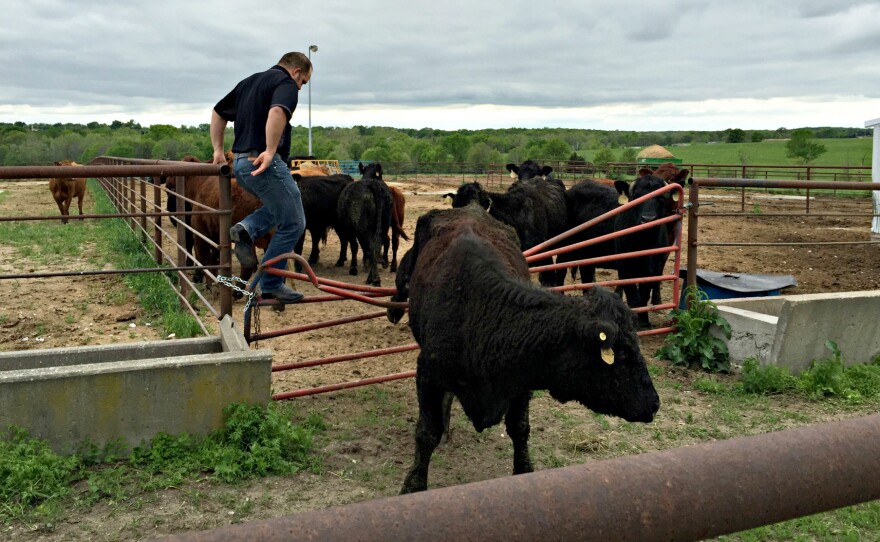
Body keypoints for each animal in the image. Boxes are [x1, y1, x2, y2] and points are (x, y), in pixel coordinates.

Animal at [387, 205, 660, 493]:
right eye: (622, 354)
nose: (654, 404)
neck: (480, 314)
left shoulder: (521, 382)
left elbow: (519, 428)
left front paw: (524, 471)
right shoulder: (427, 374)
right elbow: (427, 433)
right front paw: (413, 485)